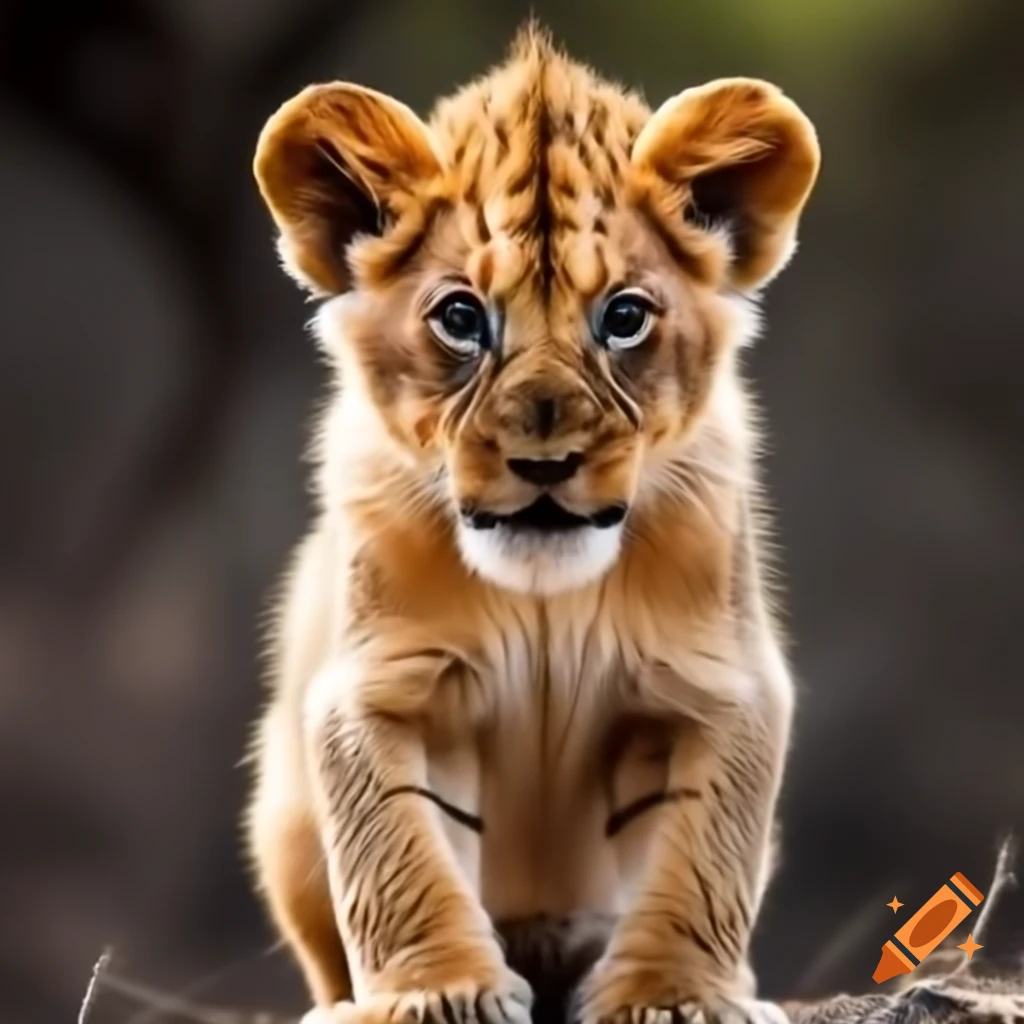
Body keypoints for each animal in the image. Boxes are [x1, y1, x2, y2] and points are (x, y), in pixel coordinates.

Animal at [245, 22, 820, 1024]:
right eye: (460, 317)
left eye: (623, 317)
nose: (545, 461)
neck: (548, 601)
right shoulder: (379, 680)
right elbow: (396, 848)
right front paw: (438, 991)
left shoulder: (721, 681)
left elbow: (704, 853)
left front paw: (672, 994)